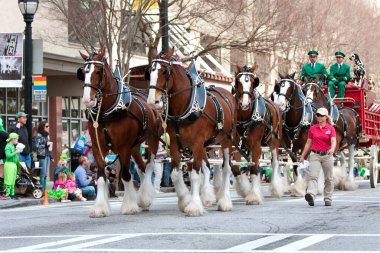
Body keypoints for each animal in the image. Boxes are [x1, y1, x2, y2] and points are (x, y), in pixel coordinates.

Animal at [77, 49, 160, 217]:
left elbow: (126, 175)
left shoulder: (123, 147)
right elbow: (101, 177)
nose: (88, 100)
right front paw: (100, 208)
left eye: (98, 71)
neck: (108, 111)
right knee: (141, 168)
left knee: (148, 167)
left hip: (152, 141)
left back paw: (144, 199)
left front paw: (129, 206)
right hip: (135, 147)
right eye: (84, 72)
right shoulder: (98, 147)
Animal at [146, 48, 238, 216]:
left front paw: (194, 205)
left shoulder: (196, 143)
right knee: (207, 167)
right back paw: (207, 197)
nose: (152, 102)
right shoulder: (176, 143)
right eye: (149, 72)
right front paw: (185, 200)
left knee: (226, 168)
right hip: (205, 146)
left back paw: (225, 201)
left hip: (226, 140)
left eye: (165, 71)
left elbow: (195, 175)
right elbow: (176, 174)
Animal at [232, 64, 284, 203]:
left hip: (274, 142)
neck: (245, 118)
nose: (244, 104)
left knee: (275, 162)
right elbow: (235, 168)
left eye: (252, 82)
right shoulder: (235, 146)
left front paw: (254, 195)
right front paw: (245, 189)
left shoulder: (256, 146)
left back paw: (276, 188)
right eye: (237, 81)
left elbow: (255, 168)